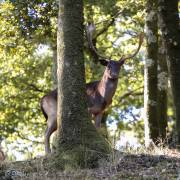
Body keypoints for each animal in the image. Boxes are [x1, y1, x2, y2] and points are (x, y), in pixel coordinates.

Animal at [40, 23, 143, 154]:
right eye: (108, 66)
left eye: (119, 66)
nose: (114, 75)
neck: (101, 97)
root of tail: (42, 100)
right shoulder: (89, 109)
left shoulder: (100, 111)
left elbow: (98, 129)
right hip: (52, 113)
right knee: (46, 133)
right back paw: (48, 153)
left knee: (50, 133)